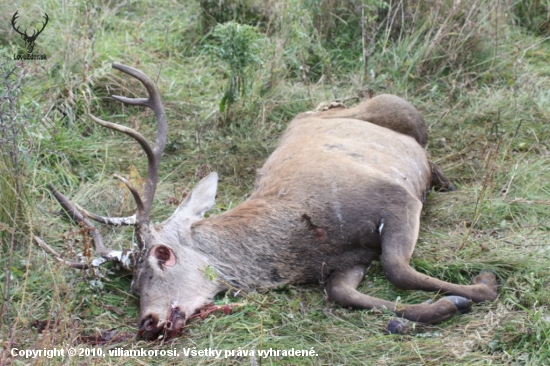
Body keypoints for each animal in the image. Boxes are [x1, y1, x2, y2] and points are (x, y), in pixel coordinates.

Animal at [35, 63, 500, 340]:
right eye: (132, 286)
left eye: (162, 255)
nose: (147, 324)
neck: (305, 245)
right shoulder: (345, 262)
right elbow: (344, 294)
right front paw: (437, 307)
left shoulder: (396, 197)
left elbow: (398, 268)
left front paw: (482, 285)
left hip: (404, 109)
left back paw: (443, 181)